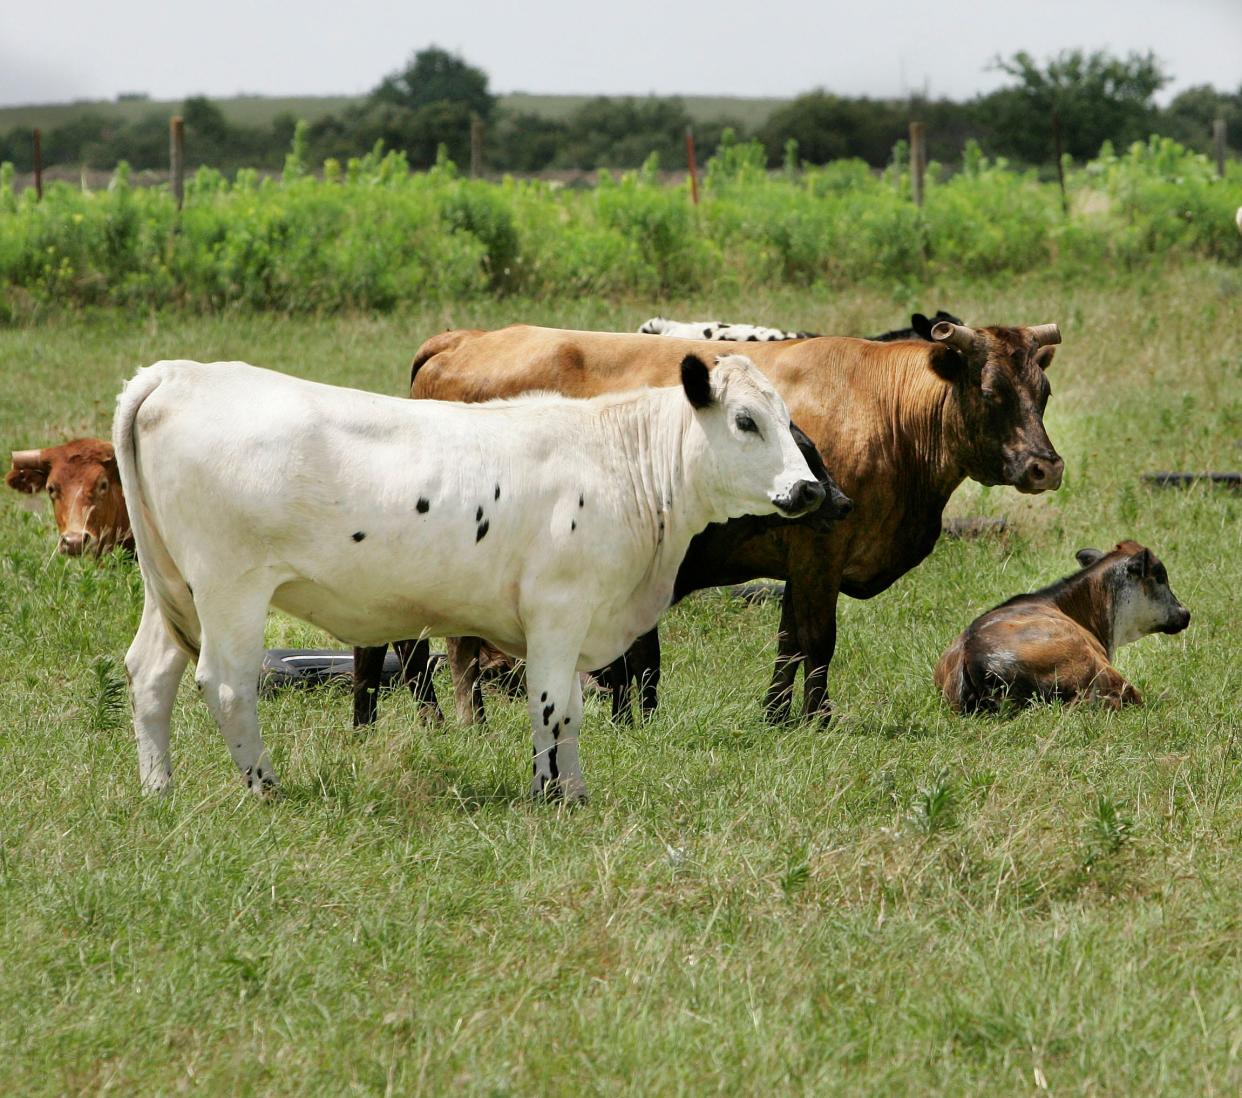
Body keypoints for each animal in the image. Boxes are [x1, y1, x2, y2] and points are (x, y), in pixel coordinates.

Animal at [111, 355, 819, 799]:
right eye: (746, 421)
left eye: (788, 420)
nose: (809, 489)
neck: (616, 460)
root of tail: (180, 374)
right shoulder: (558, 611)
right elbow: (555, 707)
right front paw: (553, 796)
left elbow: (567, 711)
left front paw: (572, 790)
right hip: (230, 588)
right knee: (228, 685)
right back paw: (264, 788)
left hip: (173, 587)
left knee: (150, 673)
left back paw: (159, 789)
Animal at [402, 320, 1063, 725]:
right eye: (990, 391)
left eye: (1044, 390)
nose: (1044, 466)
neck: (885, 408)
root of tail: (466, 338)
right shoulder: (820, 554)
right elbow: (818, 641)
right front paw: (819, 720)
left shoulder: (801, 559)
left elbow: (789, 641)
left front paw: (776, 716)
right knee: (451, 644)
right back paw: (465, 718)